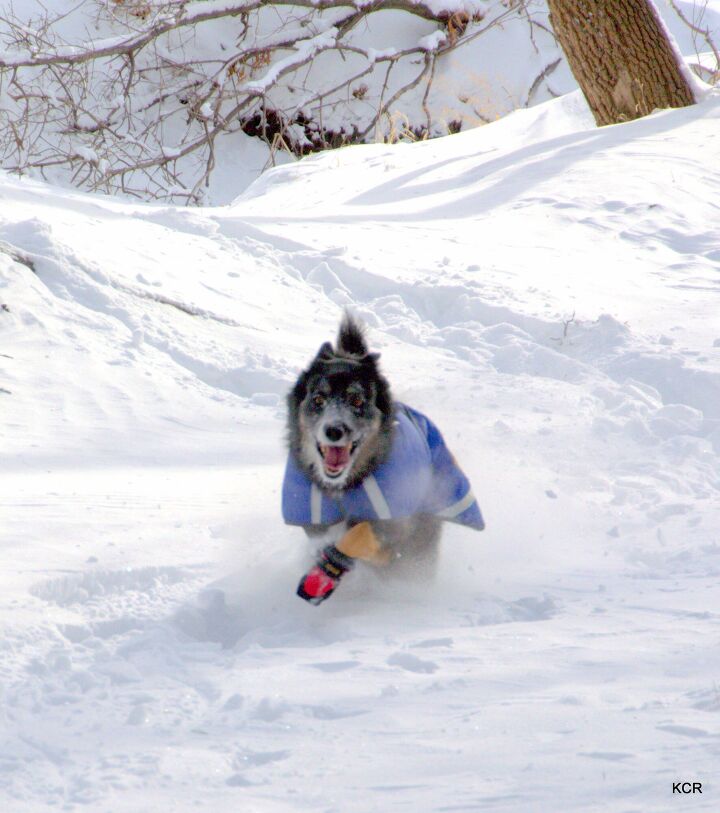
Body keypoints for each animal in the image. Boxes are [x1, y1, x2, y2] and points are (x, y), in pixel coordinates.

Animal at [282, 314, 484, 604]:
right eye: (318, 399)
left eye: (357, 400)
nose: (334, 430)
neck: (345, 484)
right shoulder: (313, 519)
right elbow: (330, 536)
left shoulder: (395, 516)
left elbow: (360, 534)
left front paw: (328, 569)